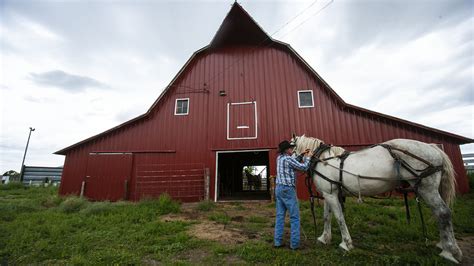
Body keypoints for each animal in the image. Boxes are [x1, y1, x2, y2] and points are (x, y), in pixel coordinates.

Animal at [292, 135, 462, 264]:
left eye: (292, 147)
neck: (324, 160)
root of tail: (433, 148)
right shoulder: (329, 194)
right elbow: (327, 217)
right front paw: (324, 238)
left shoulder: (332, 195)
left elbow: (340, 218)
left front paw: (346, 244)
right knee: (440, 214)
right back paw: (444, 245)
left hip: (427, 188)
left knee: (443, 213)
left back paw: (449, 251)